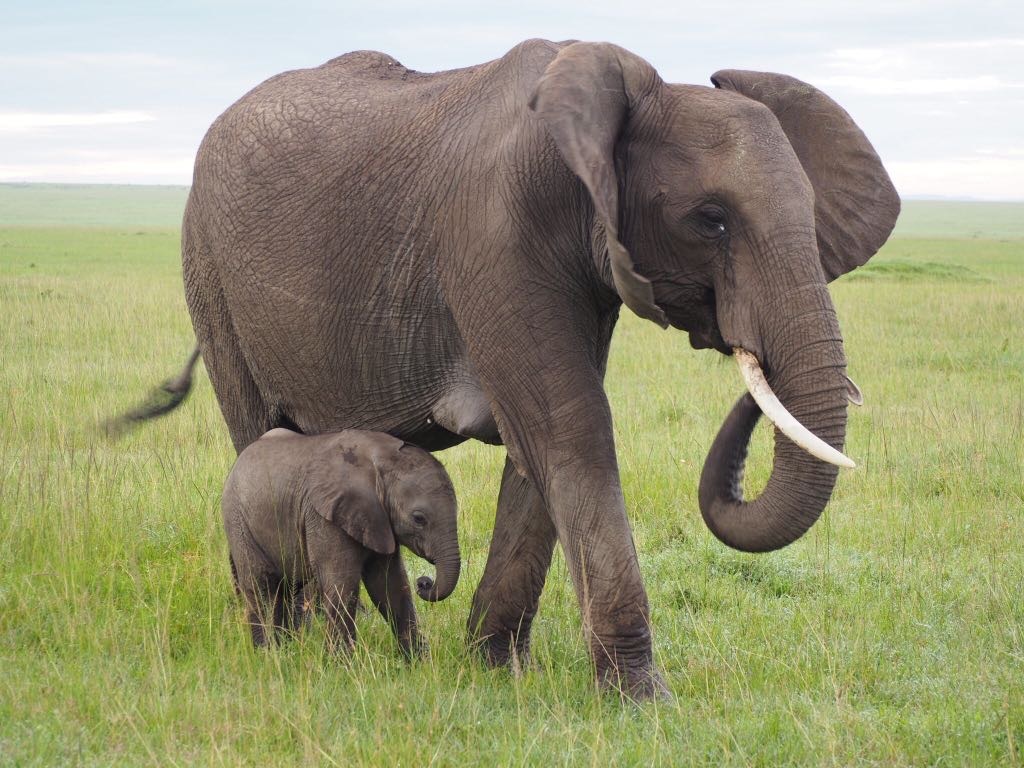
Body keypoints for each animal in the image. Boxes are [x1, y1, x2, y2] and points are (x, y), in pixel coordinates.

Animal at [226, 428, 462, 655]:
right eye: (419, 519)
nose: (424, 583)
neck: (380, 459)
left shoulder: (379, 521)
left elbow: (390, 585)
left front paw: (417, 661)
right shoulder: (324, 517)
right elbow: (342, 585)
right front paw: (342, 663)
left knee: (287, 589)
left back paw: (286, 649)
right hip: (239, 524)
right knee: (260, 587)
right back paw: (267, 654)